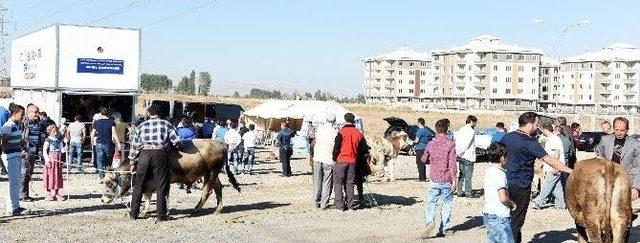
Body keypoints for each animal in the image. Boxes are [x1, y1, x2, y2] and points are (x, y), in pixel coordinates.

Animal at [101, 140, 241, 215]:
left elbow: (159, 195)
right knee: (218, 188)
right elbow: (148, 196)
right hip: (211, 173)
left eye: (110, 182)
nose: (102, 199)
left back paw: (197, 208)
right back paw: (218, 209)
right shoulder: (149, 184)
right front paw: (145, 210)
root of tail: (220, 142)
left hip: (211, 172)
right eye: (104, 182)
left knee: (207, 191)